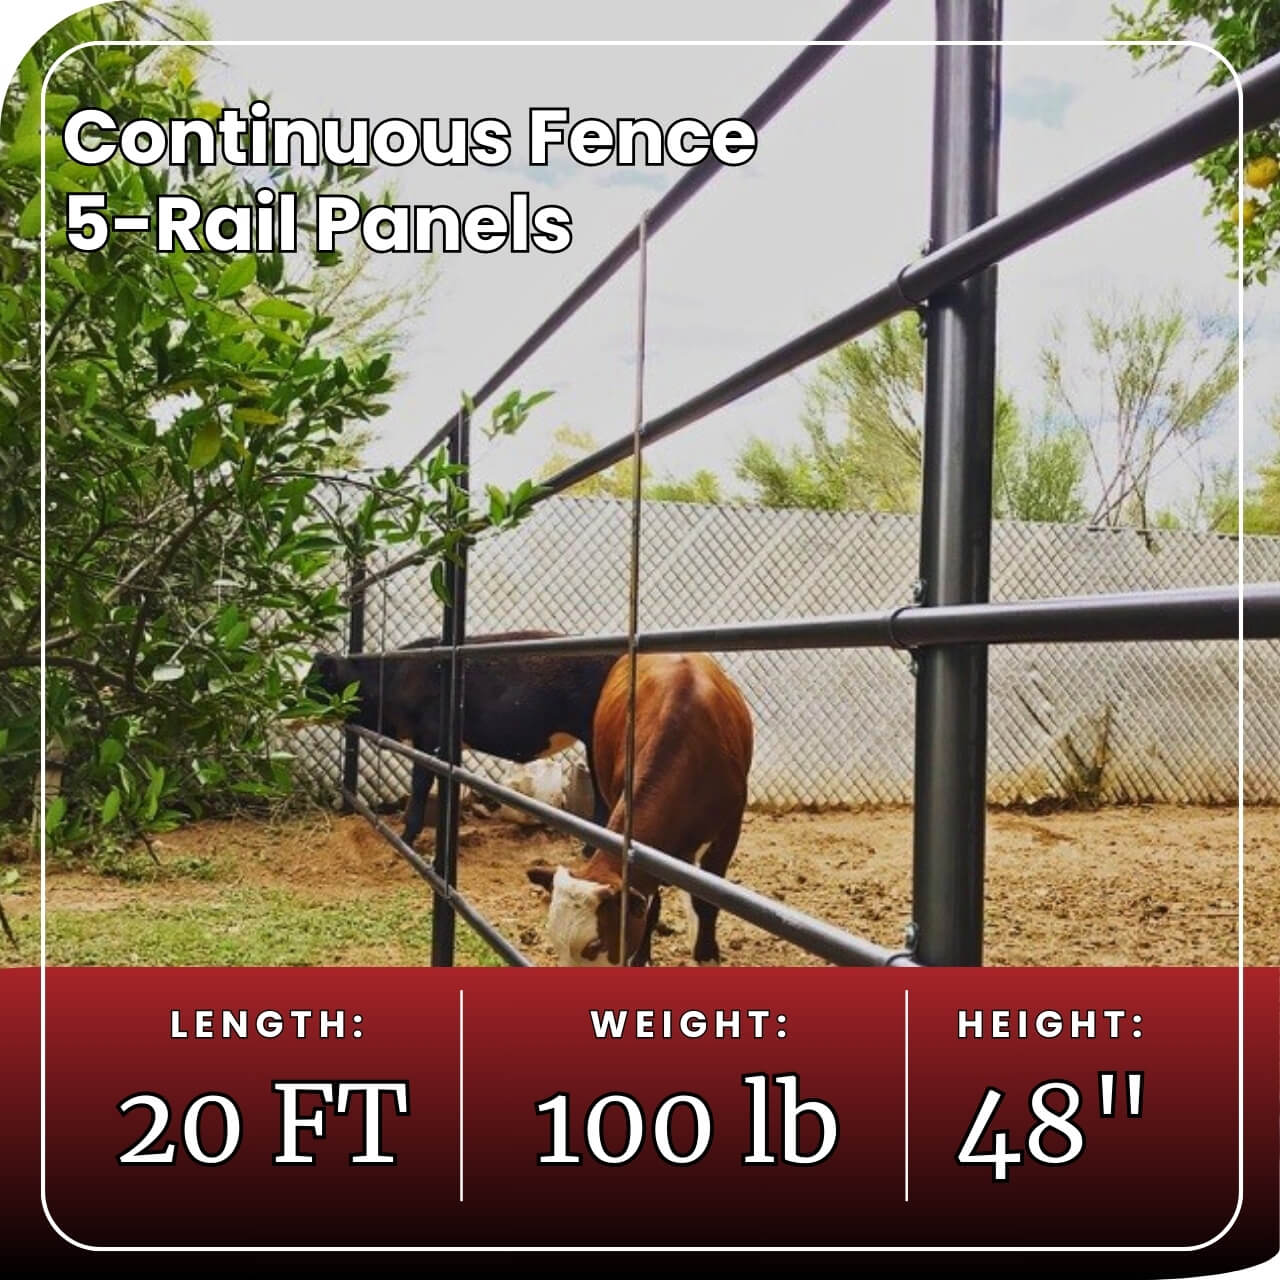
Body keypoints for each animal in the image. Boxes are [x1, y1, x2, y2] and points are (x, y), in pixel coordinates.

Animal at [526, 652, 753, 967]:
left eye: (595, 944)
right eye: (555, 942)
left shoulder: (728, 831)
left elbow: (707, 902)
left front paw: (707, 954)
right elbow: (650, 905)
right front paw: (642, 956)